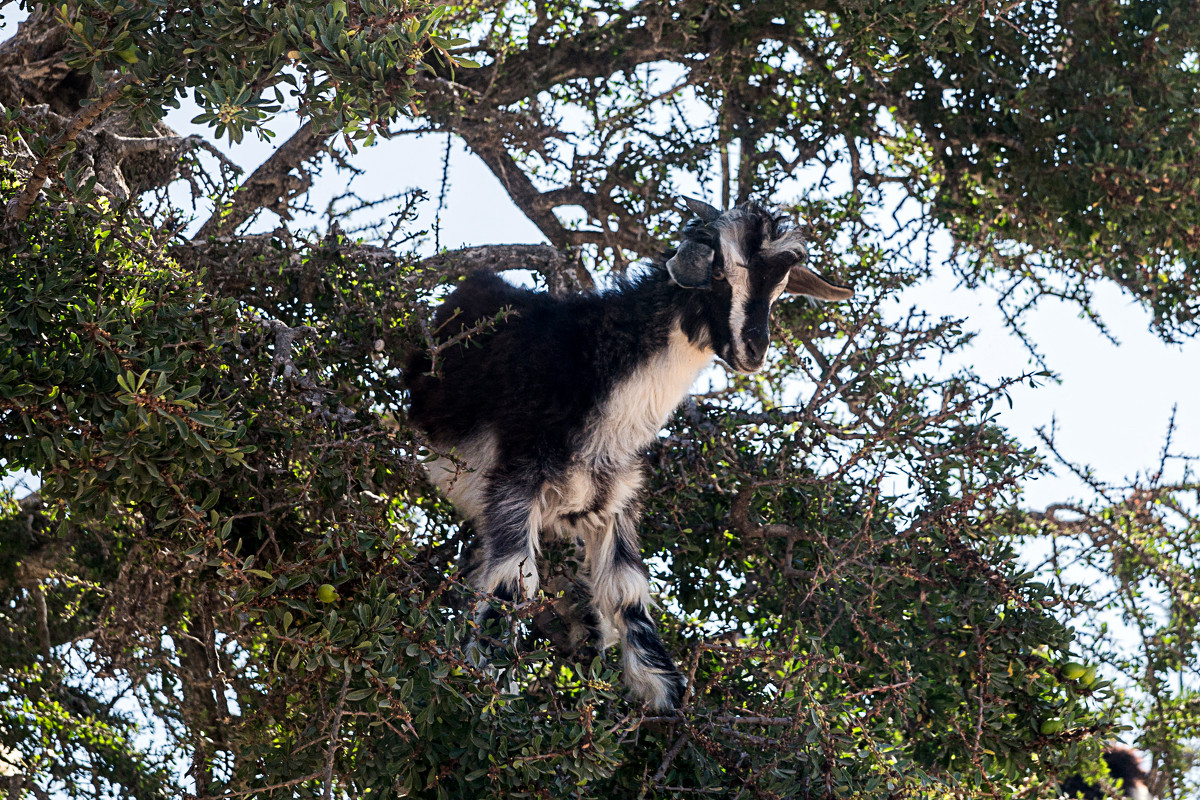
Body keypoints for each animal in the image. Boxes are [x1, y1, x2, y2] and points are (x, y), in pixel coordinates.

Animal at [410, 199, 854, 705]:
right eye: (720, 272)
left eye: (780, 288)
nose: (755, 350)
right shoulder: (515, 482)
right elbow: (512, 583)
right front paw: (490, 687)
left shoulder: (615, 500)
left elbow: (627, 593)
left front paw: (669, 699)